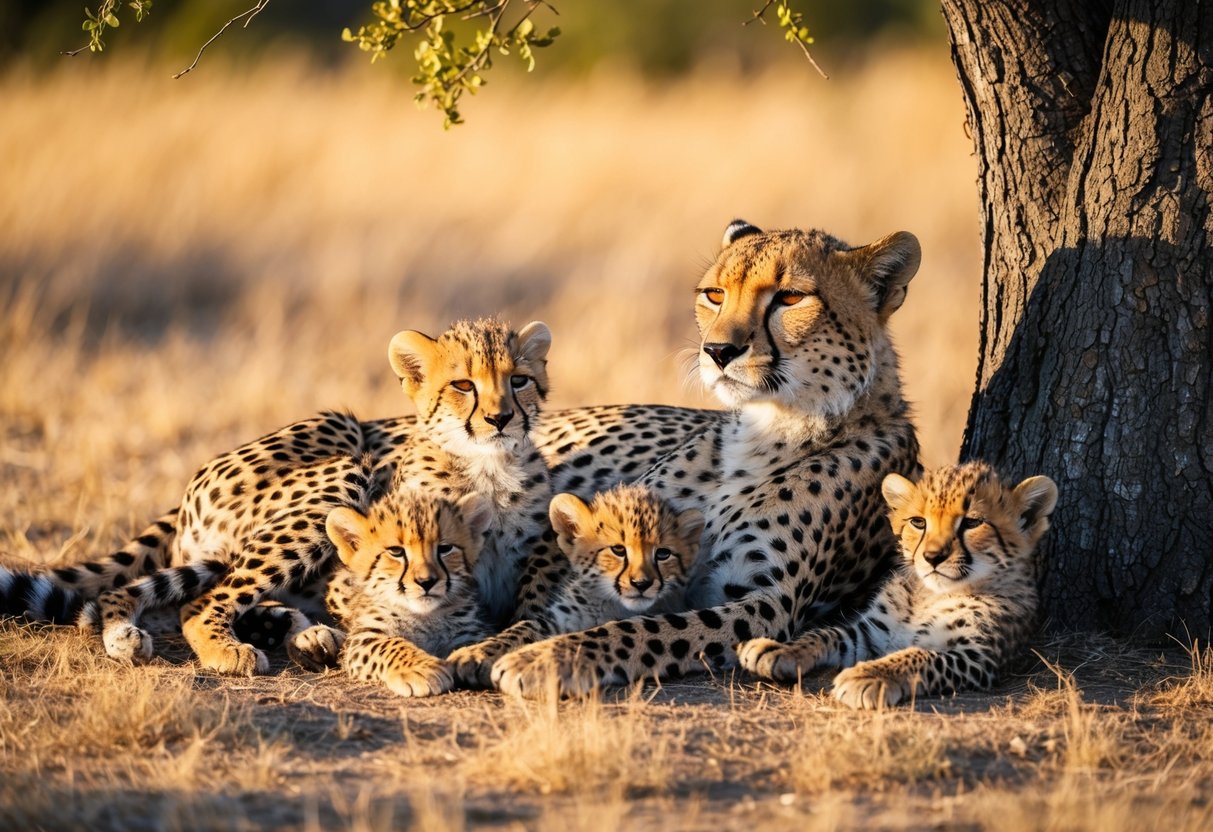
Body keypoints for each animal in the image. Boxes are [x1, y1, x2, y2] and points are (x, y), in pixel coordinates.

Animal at [305, 489, 494, 698]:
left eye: (445, 548)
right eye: (396, 551)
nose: (426, 582)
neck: (425, 616)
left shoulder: (469, 632)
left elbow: (483, 644)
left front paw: (475, 657)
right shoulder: (363, 638)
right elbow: (391, 644)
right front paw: (421, 669)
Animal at [479, 220, 924, 698]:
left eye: (790, 297)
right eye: (714, 293)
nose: (718, 351)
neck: (766, 430)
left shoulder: (761, 604)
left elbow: (646, 630)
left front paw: (544, 657)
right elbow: (545, 606)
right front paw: (491, 647)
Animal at [737, 461, 1058, 708]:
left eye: (971, 523)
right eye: (918, 522)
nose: (932, 557)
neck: (932, 594)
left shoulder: (978, 657)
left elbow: (920, 655)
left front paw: (867, 676)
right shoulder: (869, 633)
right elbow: (823, 634)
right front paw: (779, 649)